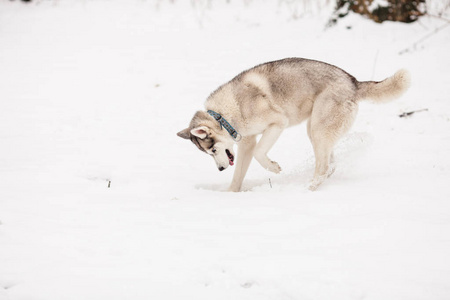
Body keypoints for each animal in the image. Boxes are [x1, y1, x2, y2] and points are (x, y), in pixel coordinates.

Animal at [178, 57, 410, 191]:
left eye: (213, 150)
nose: (220, 169)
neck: (225, 114)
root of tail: (353, 82)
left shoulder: (277, 123)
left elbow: (260, 153)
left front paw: (273, 167)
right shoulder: (246, 143)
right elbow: (238, 176)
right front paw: (230, 195)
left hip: (317, 129)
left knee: (323, 166)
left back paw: (309, 189)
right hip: (317, 131)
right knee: (330, 165)